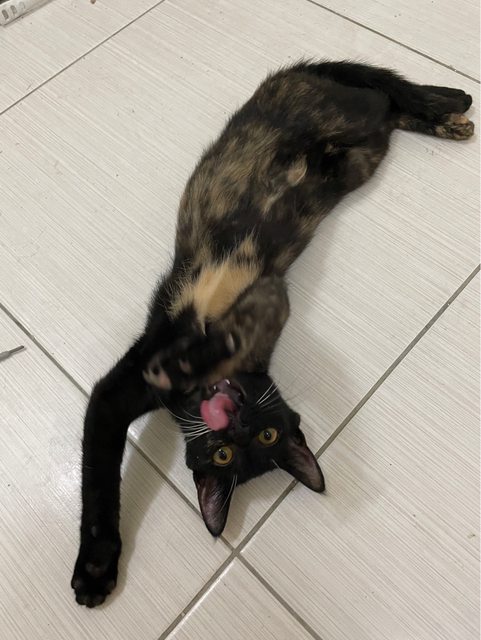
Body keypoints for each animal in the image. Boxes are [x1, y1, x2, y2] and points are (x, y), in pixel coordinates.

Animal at [71, 60, 474, 606]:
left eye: (265, 435)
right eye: (223, 453)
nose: (236, 421)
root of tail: (295, 72)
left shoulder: (262, 304)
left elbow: (264, 310)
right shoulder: (118, 393)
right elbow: (98, 483)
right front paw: (95, 565)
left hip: (353, 136)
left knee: (388, 96)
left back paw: (450, 113)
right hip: (350, 136)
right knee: (386, 97)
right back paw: (450, 114)